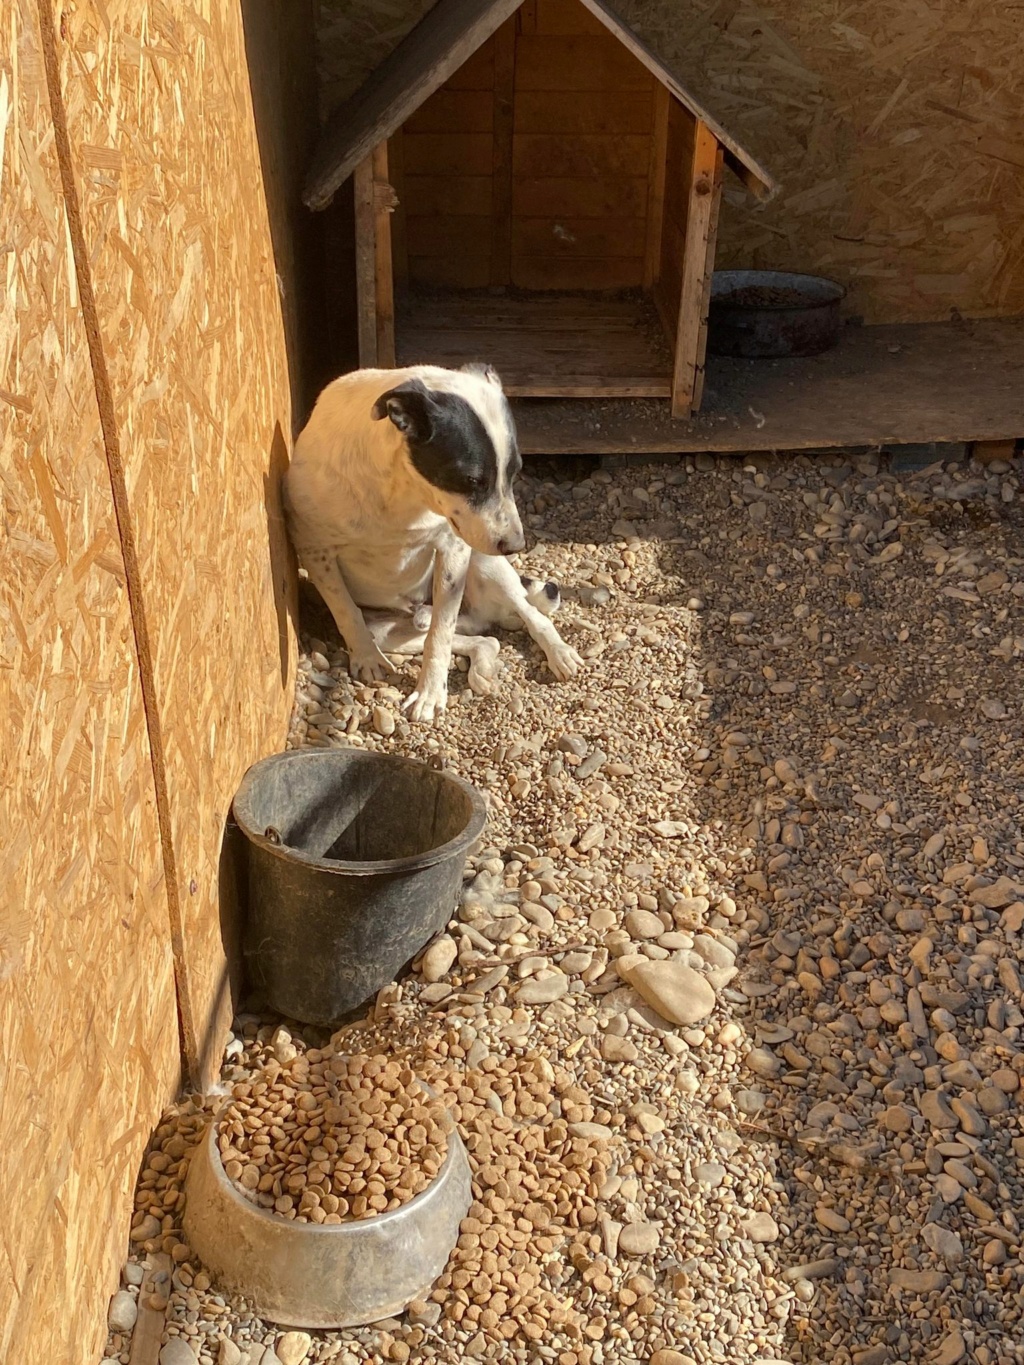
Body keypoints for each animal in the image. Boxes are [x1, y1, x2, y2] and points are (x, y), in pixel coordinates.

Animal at [285, 363, 581, 726]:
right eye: (471, 479)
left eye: (515, 473)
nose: (516, 545)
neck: (401, 493)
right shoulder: (314, 549)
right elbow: (346, 610)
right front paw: (367, 659)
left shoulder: (454, 549)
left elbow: (440, 634)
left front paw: (429, 695)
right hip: (387, 628)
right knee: (483, 637)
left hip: (485, 563)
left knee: (529, 613)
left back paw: (559, 653)